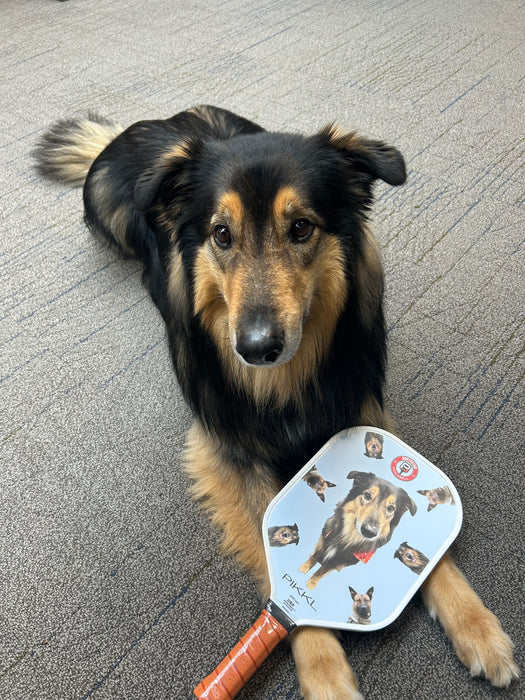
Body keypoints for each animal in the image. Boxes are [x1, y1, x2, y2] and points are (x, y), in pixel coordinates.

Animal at [34, 106, 516, 696]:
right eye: (221, 234)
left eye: (302, 227)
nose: (256, 348)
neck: (285, 379)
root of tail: (150, 124)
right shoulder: (228, 454)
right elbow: (278, 573)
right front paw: (326, 672)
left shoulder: (362, 415)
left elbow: (434, 552)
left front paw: (476, 625)